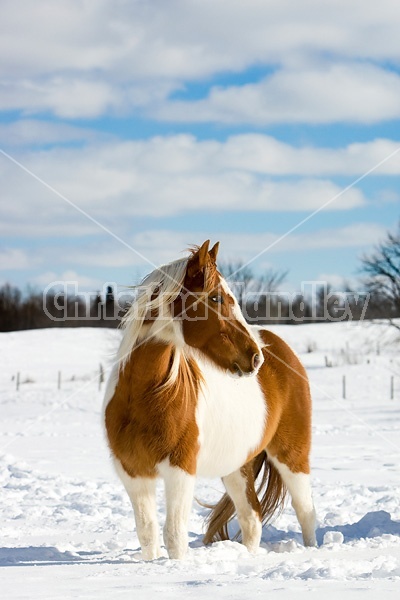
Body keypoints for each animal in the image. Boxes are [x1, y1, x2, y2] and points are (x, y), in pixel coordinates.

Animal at [104, 241, 318, 560]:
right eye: (216, 298)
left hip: (292, 455)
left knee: (305, 511)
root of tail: (279, 348)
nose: (255, 358)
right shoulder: (133, 473)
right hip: (237, 466)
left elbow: (174, 535)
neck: (144, 397)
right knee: (252, 518)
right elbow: (148, 534)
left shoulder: (180, 469)